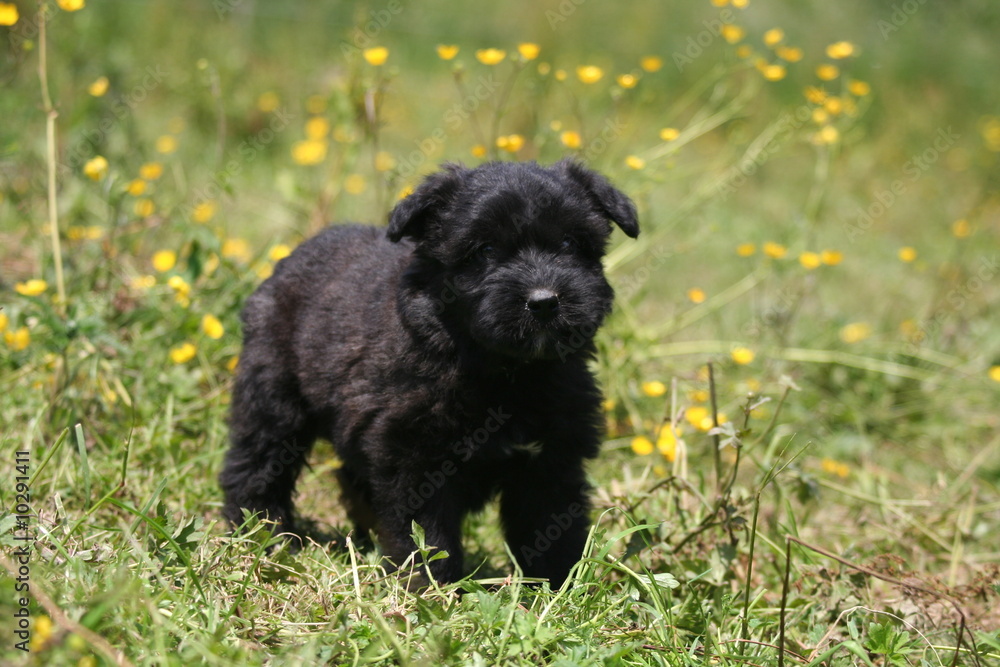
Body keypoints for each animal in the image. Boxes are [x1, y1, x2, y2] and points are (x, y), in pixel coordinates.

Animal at [222, 159, 636, 588]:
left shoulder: (551, 459)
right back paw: (262, 534)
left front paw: (559, 587)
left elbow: (551, 529)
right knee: (256, 462)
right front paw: (429, 588)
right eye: (485, 250)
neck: (506, 374)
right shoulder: (414, 456)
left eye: (570, 244)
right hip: (272, 394)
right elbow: (426, 535)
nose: (543, 301)